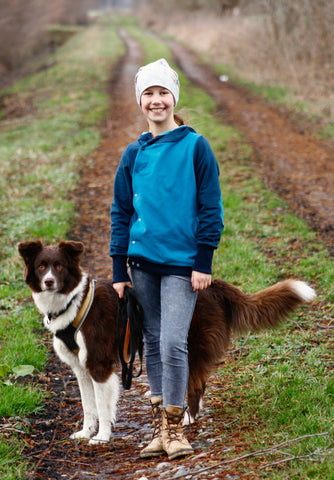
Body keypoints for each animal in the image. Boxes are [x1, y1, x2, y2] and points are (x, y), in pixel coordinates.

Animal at [17, 240, 316, 442]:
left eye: (59, 267)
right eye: (42, 266)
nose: (48, 281)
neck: (73, 301)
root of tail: (213, 285)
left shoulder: (99, 364)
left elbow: (102, 405)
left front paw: (101, 437)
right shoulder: (81, 368)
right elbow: (88, 406)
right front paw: (85, 432)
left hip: (188, 343)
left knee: (196, 385)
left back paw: (187, 419)